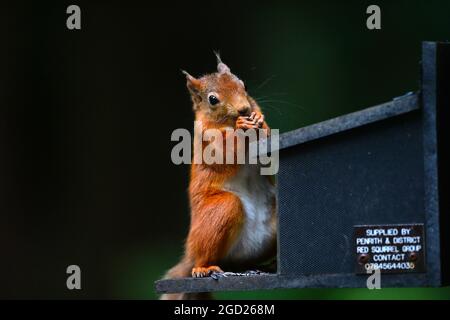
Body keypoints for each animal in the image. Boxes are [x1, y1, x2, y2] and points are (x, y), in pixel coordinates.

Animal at [160, 53, 276, 298]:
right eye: (212, 99)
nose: (244, 109)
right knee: (204, 257)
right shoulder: (207, 141)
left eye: (244, 84)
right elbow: (225, 152)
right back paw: (204, 268)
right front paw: (243, 126)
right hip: (218, 213)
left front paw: (258, 121)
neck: (227, 123)